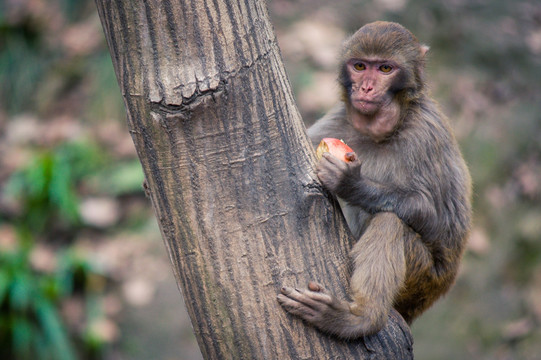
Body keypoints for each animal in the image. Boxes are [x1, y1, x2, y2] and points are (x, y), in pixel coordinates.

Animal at [276, 21, 470, 338]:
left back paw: (360, 317)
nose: (366, 87)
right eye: (360, 66)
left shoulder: (424, 135)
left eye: (385, 69)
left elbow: (433, 216)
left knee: (391, 221)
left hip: (422, 279)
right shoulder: (337, 122)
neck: (382, 132)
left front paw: (350, 184)